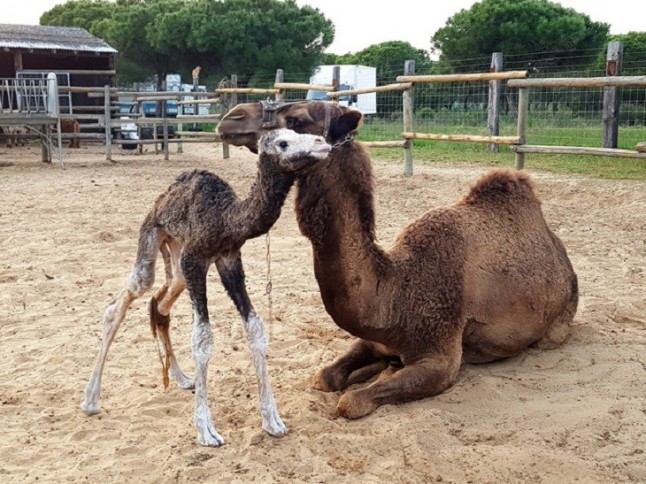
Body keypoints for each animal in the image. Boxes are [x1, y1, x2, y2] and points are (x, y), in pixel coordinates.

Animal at [80, 128, 332, 446]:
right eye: (283, 143)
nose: (323, 143)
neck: (225, 219)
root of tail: (160, 201)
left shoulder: (229, 258)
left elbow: (255, 328)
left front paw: (273, 421)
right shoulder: (196, 260)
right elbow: (202, 338)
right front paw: (206, 430)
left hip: (177, 258)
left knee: (159, 304)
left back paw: (181, 378)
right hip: (153, 238)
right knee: (123, 301)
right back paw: (90, 399)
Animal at [216, 101, 579, 419]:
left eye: (298, 119)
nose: (232, 117)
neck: (396, 294)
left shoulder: (442, 358)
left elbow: (350, 402)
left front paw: (378, 377)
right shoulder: (375, 338)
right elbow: (325, 377)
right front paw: (372, 369)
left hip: (557, 326)